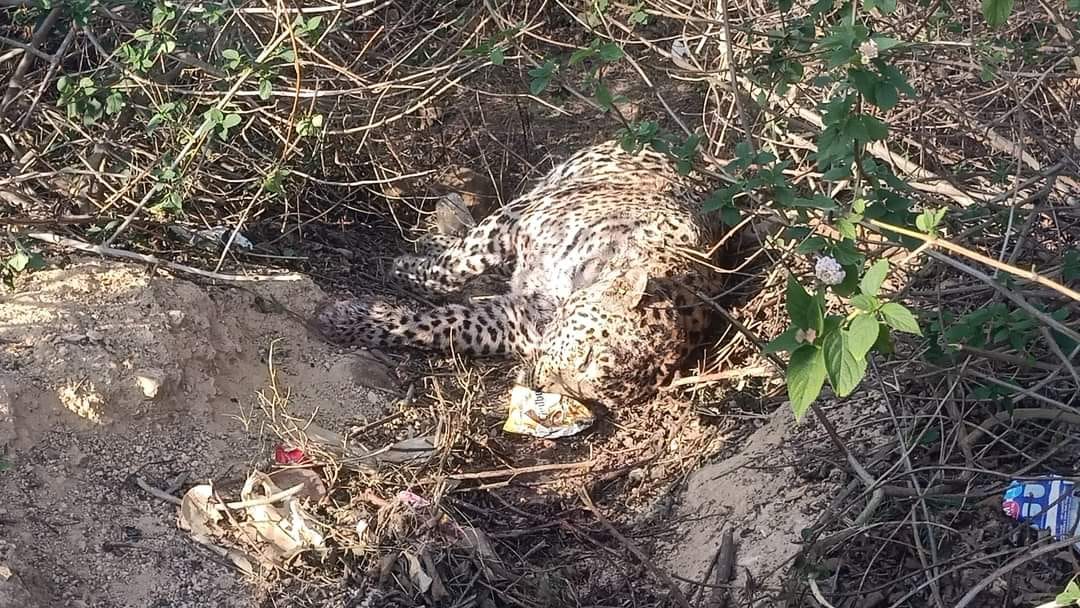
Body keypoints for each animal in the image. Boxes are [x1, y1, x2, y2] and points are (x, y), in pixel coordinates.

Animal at [313, 140, 724, 407]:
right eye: (589, 357)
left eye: (595, 397)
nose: (542, 387)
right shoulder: (516, 221)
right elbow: (452, 269)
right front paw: (398, 276)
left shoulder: (513, 319)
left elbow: (443, 327)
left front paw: (353, 320)